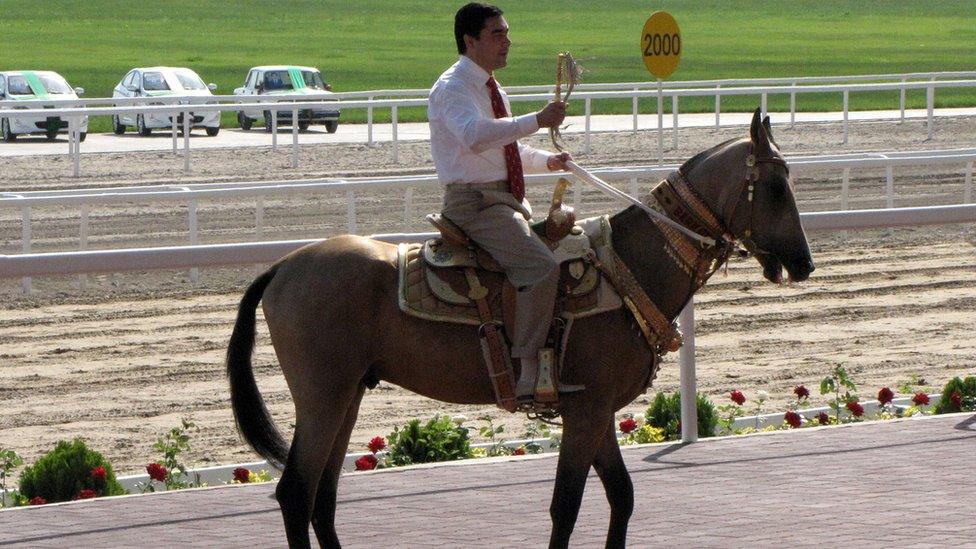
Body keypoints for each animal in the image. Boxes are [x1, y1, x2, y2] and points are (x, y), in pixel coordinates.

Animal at [227, 108, 816, 548]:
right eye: (775, 187)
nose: (804, 263)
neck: (625, 268)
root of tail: (284, 266)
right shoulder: (587, 410)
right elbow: (566, 506)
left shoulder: (594, 410)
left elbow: (621, 496)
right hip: (323, 395)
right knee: (297, 493)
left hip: (347, 394)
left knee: (322, 498)